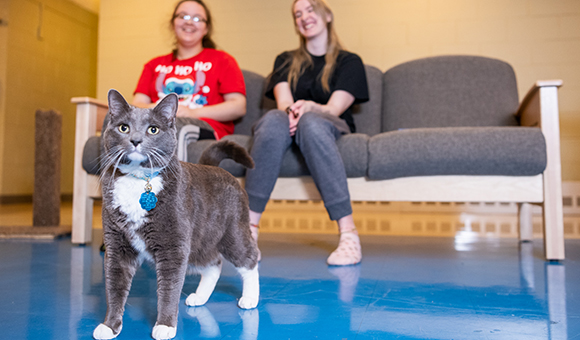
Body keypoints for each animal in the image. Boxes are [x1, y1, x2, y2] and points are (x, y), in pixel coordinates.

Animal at [92, 89, 258, 340]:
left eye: (153, 129)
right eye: (123, 128)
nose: (136, 140)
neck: (138, 180)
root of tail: (216, 167)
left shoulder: (173, 247)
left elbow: (169, 288)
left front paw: (165, 326)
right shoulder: (117, 246)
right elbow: (114, 286)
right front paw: (109, 325)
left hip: (232, 231)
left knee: (249, 258)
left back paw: (250, 298)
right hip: (199, 241)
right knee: (214, 263)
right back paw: (199, 297)